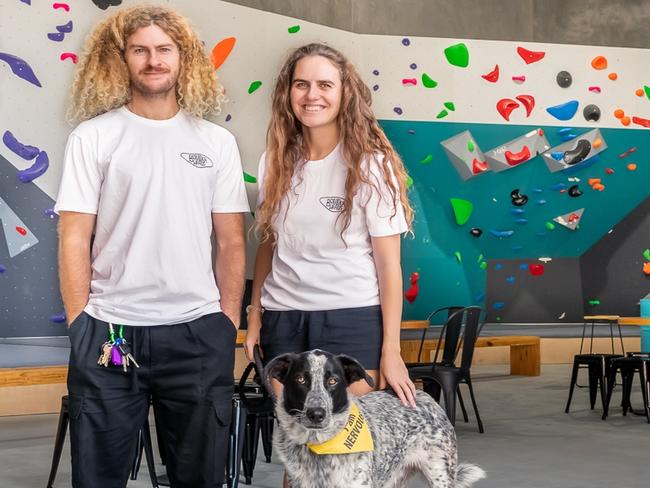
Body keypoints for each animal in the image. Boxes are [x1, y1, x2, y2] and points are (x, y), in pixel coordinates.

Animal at [262, 348, 480, 488]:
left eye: (332, 381)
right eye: (300, 379)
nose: (316, 414)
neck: (320, 446)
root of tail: (423, 395)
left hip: (440, 474)